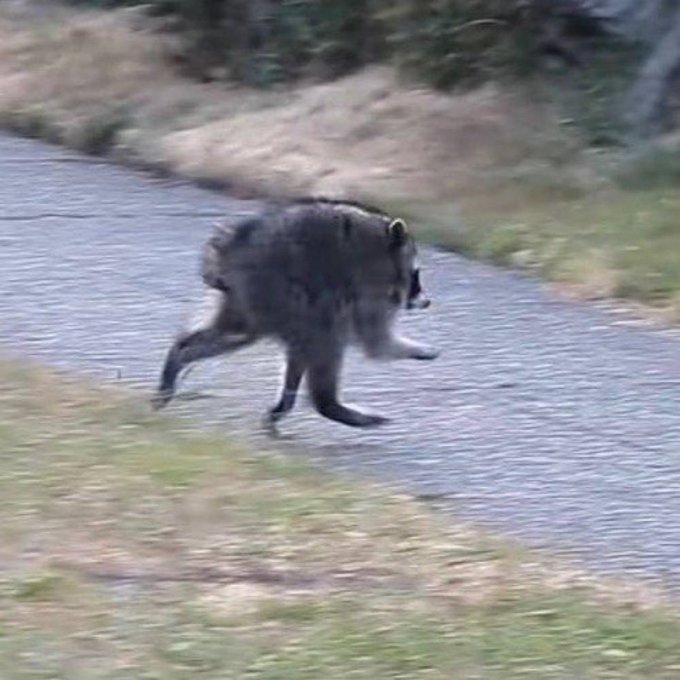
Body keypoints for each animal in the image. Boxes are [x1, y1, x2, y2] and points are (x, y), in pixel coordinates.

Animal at [152, 197, 439, 428]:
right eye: (416, 274)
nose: (426, 301)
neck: (383, 246)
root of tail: (230, 245)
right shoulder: (370, 289)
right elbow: (376, 343)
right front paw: (413, 348)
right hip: (278, 291)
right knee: (324, 339)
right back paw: (328, 404)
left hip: (248, 298)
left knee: (239, 334)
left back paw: (180, 356)